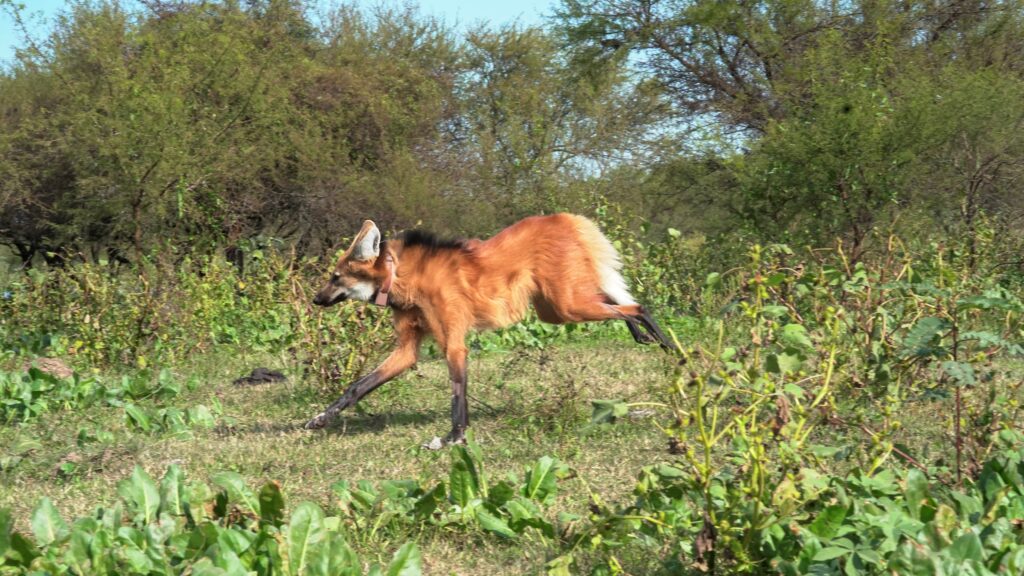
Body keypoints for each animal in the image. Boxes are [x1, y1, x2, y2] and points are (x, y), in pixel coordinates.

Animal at [303, 213, 671, 440]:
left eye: (335, 277)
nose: (316, 299)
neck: (404, 280)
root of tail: (566, 218)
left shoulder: (454, 342)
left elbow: (457, 392)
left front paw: (454, 437)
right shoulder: (408, 349)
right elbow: (357, 387)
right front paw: (320, 419)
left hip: (567, 306)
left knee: (635, 307)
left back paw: (664, 344)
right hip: (557, 309)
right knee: (617, 302)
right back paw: (648, 338)